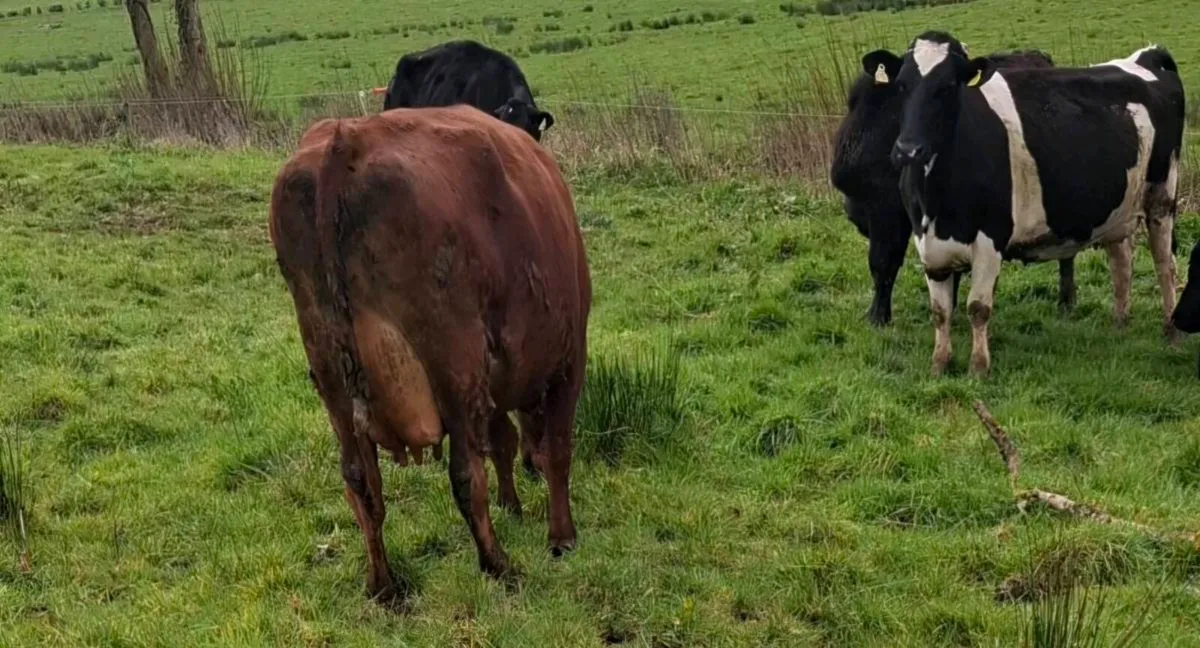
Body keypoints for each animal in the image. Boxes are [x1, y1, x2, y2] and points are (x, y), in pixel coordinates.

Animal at [269, 105, 591, 600]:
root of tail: (346, 141)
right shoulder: (568, 360)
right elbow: (555, 449)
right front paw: (561, 536)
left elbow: (503, 440)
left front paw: (513, 504)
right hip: (453, 363)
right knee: (464, 476)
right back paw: (498, 564)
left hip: (329, 373)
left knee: (360, 481)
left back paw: (383, 584)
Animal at [874, 31, 1184, 377]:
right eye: (902, 85)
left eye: (948, 86)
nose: (908, 150)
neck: (936, 201)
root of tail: (1144, 57)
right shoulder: (927, 243)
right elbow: (940, 311)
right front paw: (939, 364)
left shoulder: (990, 239)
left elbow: (977, 307)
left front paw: (978, 368)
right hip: (1118, 209)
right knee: (1122, 263)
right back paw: (1118, 325)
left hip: (1161, 194)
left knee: (1165, 264)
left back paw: (1171, 332)